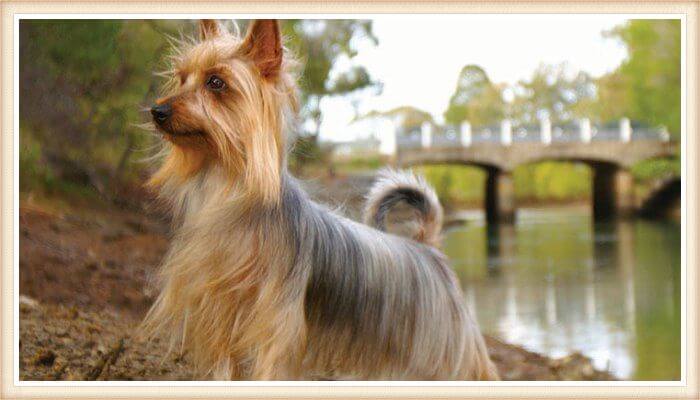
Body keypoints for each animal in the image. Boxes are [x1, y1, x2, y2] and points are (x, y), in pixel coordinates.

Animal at [141, 19, 498, 382]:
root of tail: (427, 247)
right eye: (182, 77)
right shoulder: (222, 322)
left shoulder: (276, 329)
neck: (230, 191)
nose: (157, 110)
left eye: (216, 82)